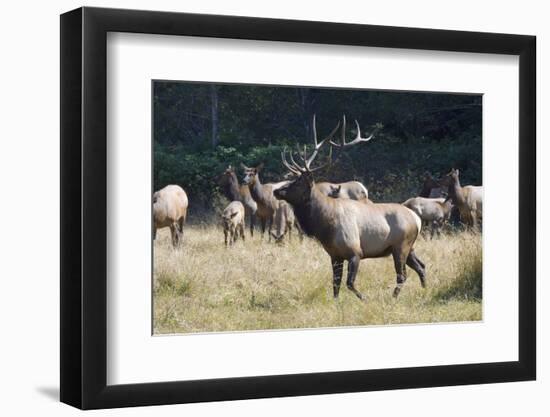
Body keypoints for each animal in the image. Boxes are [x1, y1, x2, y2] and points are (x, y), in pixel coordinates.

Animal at [276, 115, 426, 300]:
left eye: (297, 183)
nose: (276, 190)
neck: (325, 226)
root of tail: (417, 219)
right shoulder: (334, 255)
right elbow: (335, 284)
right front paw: (336, 302)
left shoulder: (355, 252)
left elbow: (349, 283)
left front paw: (365, 299)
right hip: (409, 247)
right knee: (421, 266)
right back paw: (424, 290)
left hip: (401, 246)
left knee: (402, 275)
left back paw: (394, 297)